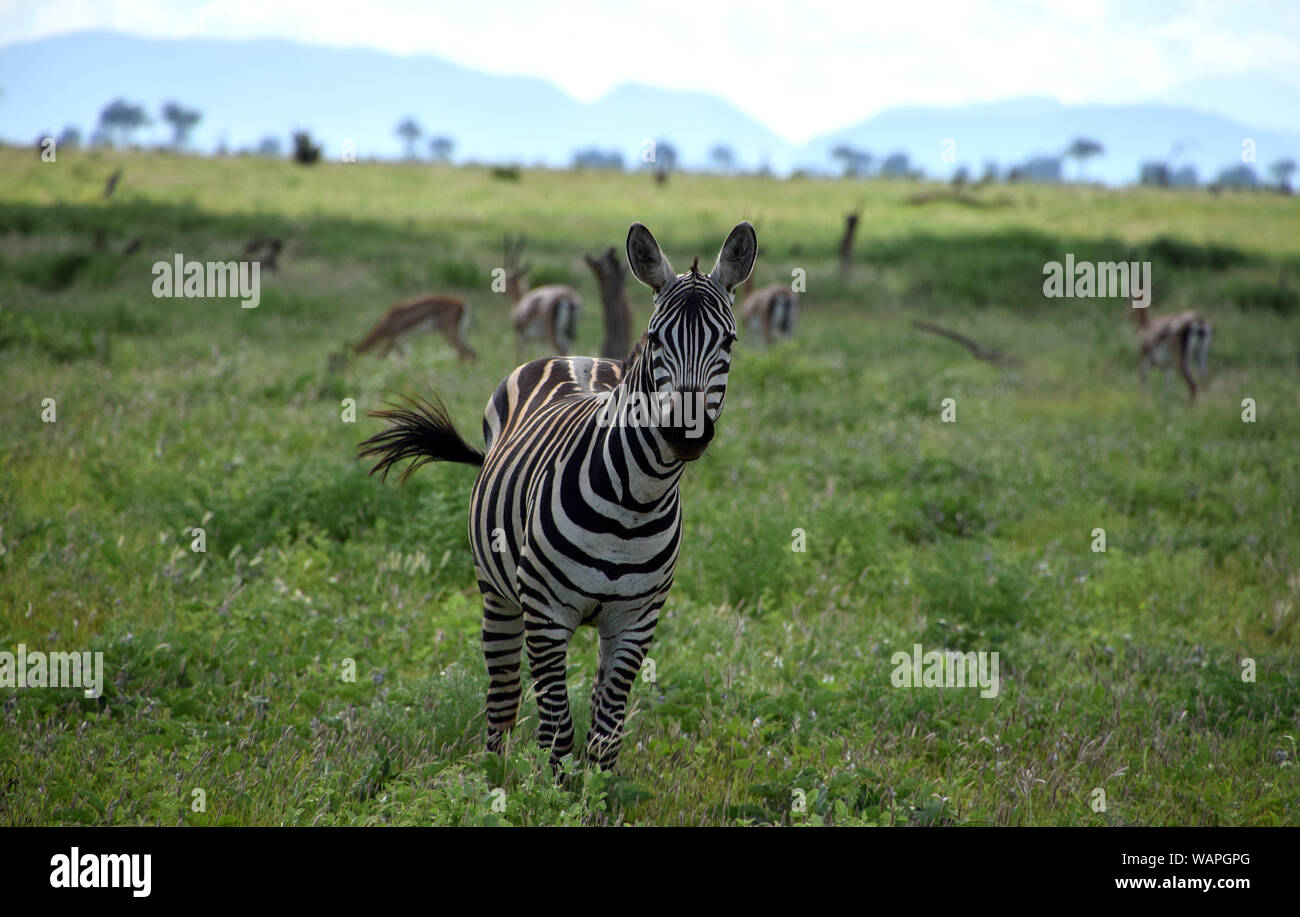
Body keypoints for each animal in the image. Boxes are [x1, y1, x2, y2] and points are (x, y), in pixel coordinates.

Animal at [361, 223, 759, 770]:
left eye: (729, 340)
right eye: (655, 339)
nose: (686, 432)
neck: (635, 501)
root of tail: (575, 357)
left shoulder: (635, 623)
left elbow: (604, 740)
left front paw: (597, 790)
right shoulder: (547, 617)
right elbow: (558, 737)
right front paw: (549, 789)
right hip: (497, 593)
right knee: (503, 700)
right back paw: (494, 775)